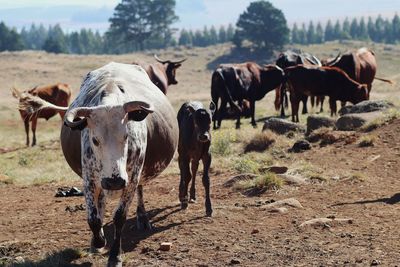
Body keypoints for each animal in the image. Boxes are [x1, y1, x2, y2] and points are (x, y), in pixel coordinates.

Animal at [20, 62, 178, 266]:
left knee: (139, 191)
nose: (114, 181)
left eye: (126, 136)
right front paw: (98, 241)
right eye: (95, 140)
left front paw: (115, 255)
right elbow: (93, 218)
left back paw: (142, 218)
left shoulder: (132, 178)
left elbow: (119, 217)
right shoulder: (89, 178)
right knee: (100, 203)